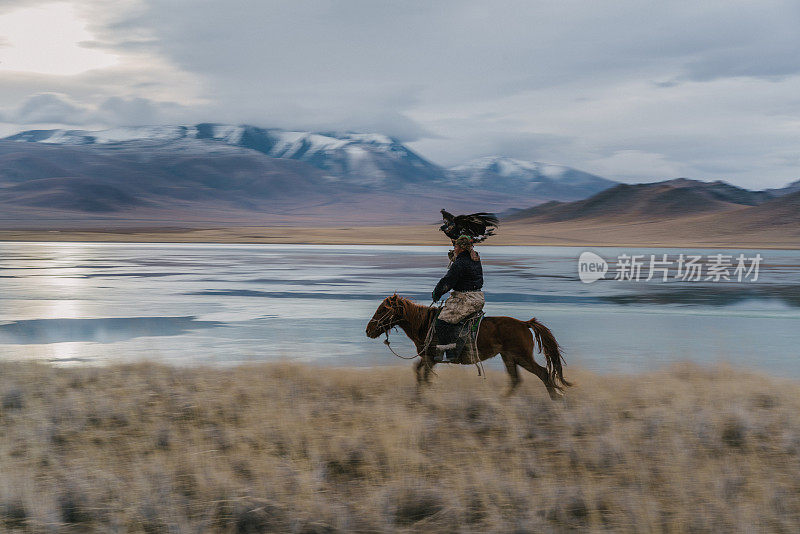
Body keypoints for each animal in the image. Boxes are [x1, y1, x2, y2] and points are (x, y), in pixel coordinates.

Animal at [362, 296, 568, 400]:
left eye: (383, 310)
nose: (368, 330)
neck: (424, 325)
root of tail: (525, 323)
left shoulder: (431, 358)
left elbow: (423, 375)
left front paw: (427, 393)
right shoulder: (428, 358)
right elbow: (418, 373)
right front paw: (424, 392)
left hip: (521, 356)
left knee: (543, 373)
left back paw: (555, 398)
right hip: (509, 357)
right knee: (516, 379)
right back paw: (502, 400)